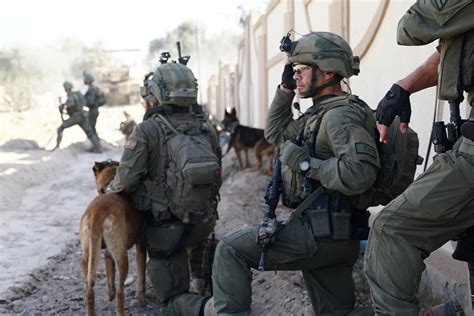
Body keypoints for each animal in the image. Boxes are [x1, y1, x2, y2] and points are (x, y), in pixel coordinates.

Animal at [80, 160, 146, 316]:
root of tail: (97, 211)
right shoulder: (141, 245)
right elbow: (141, 274)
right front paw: (141, 297)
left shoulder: (108, 254)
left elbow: (110, 275)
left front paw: (110, 293)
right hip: (122, 259)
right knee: (121, 292)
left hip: (87, 257)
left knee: (89, 288)